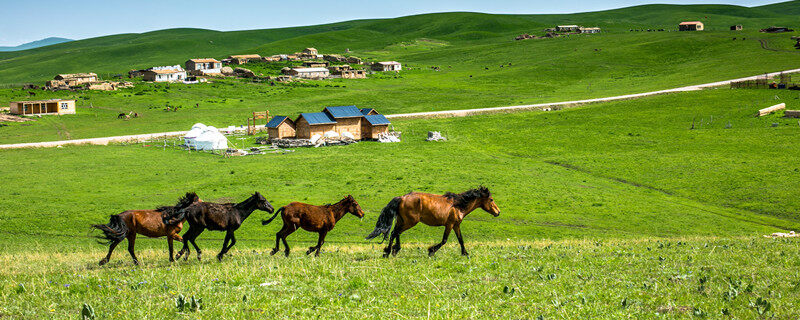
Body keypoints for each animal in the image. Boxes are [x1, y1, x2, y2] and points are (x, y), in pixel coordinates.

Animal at [364, 188, 500, 258]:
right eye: (491, 199)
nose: (498, 212)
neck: (458, 205)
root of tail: (401, 198)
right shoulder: (449, 224)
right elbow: (444, 240)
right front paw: (431, 251)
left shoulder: (456, 225)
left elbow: (461, 240)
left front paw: (465, 253)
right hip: (410, 222)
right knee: (394, 233)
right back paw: (388, 252)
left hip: (402, 221)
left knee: (395, 233)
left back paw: (392, 250)